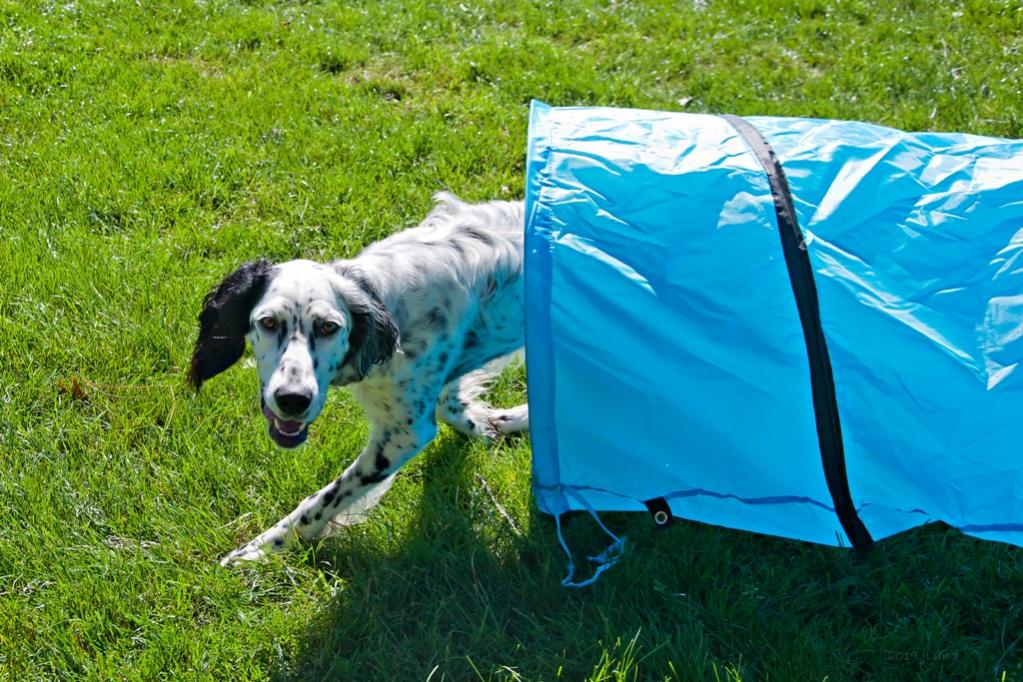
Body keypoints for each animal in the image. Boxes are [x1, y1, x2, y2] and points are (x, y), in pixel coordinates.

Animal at [188, 193, 531, 564]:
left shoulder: (404, 434)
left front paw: (263, 547)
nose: (293, 400)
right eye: (267, 322)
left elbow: (323, 499)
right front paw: (489, 425)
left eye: (328, 327)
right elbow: (453, 403)